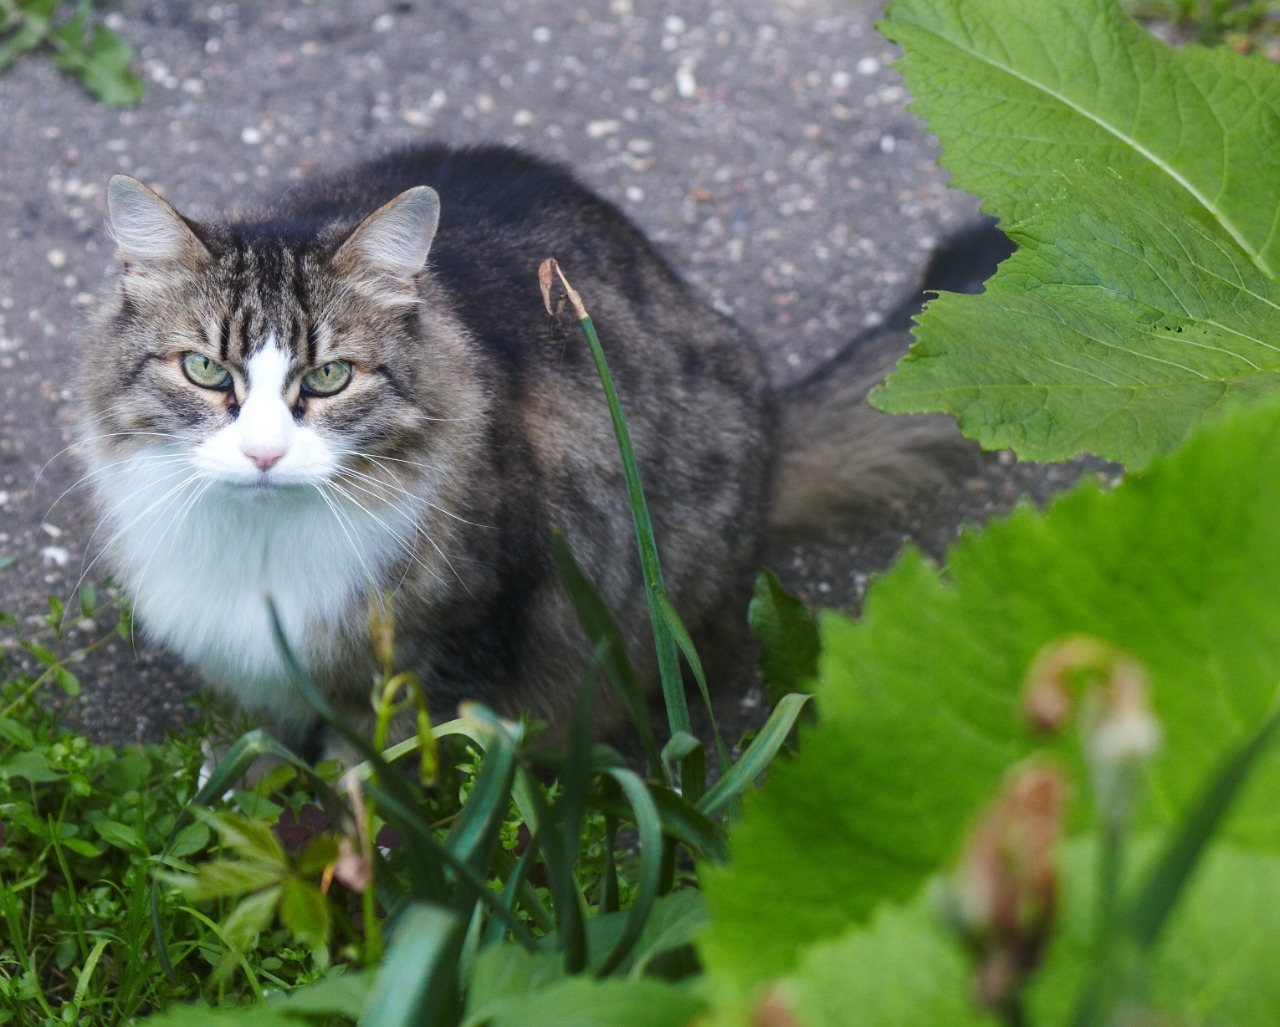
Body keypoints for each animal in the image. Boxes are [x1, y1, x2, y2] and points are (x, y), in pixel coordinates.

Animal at [80, 142, 1008, 752]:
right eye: (205, 370)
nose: (266, 455)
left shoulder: (449, 654)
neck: (259, 554)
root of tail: (773, 426)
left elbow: (378, 784)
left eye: (331, 377)